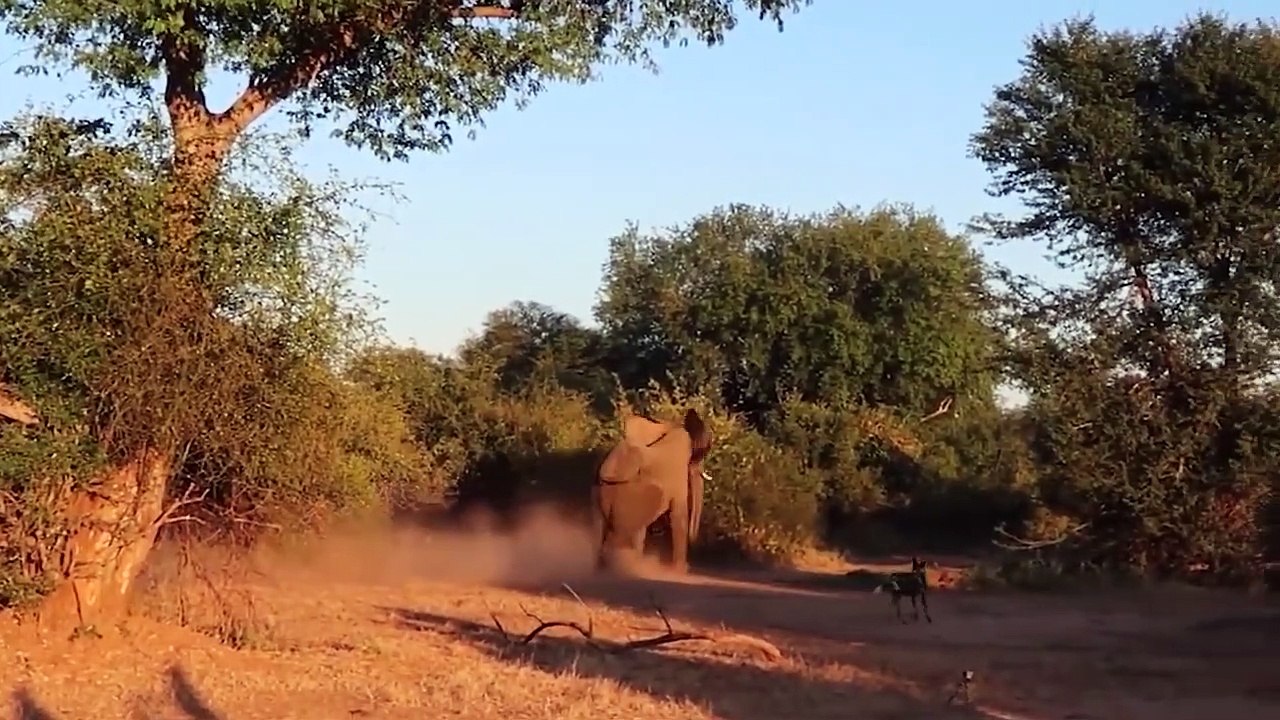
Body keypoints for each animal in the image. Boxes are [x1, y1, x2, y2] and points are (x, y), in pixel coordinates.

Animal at [591, 407, 713, 574]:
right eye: (698, 457)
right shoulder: (678, 470)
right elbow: (679, 515)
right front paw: (680, 570)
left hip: (603, 490)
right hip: (634, 496)